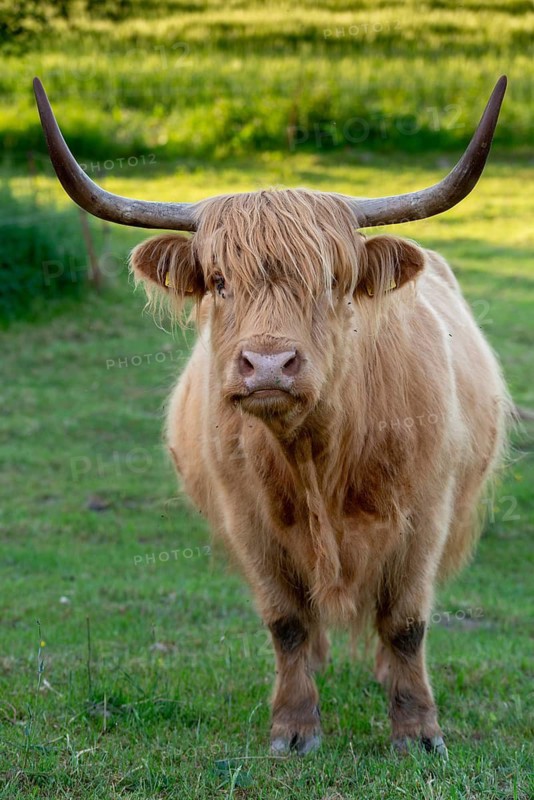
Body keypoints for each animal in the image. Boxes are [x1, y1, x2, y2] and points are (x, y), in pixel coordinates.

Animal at [34, 76, 512, 757]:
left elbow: (404, 624)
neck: (318, 452)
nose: (267, 365)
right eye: (217, 280)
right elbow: (286, 622)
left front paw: (418, 733)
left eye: (333, 280)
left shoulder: (426, 514)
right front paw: (293, 728)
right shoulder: (249, 522)